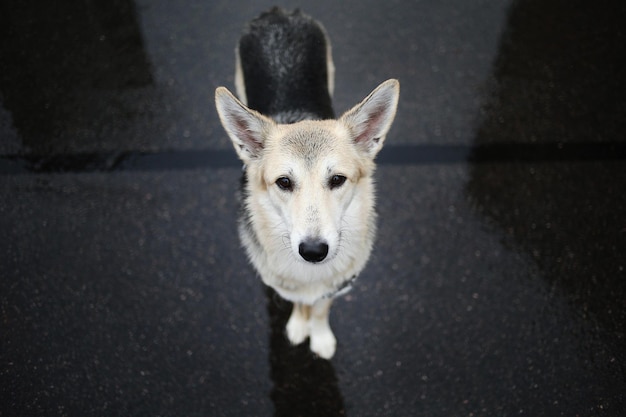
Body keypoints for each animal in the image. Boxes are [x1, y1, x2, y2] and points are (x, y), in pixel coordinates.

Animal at [217, 6, 398, 358]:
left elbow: (321, 308)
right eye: (284, 182)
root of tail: (279, 12)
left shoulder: (336, 285)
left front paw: (320, 336)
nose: (313, 251)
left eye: (338, 179)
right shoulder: (287, 286)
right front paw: (300, 327)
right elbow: (301, 304)